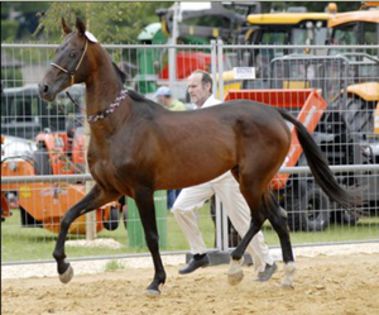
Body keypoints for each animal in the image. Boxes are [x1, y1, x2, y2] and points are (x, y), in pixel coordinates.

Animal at [39, 18, 360, 298]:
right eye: (56, 49)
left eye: (72, 52)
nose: (44, 88)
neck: (119, 123)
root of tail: (273, 111)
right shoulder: (108, 190)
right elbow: (68, 217)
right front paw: (63, 268)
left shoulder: (142, 190)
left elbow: (152, 237)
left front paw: (156, 282)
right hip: (258, 181)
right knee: (278, 217)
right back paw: (287, 274)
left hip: (251, 181)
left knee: (258, 218)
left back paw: (235, 267)